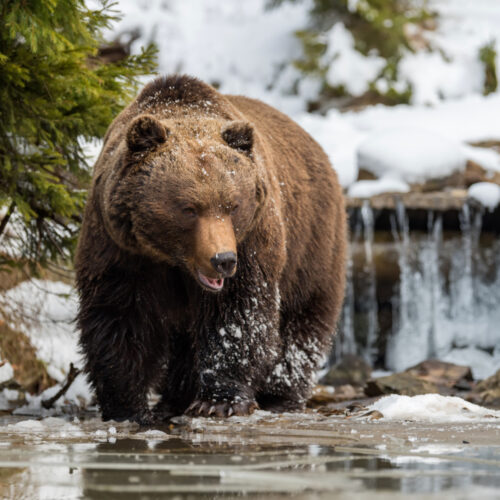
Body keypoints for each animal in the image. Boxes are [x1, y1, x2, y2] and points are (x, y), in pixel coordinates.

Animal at [75, 74, 348, 424]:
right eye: (189, 208)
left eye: (233, 205)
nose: (223, 260)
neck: (173, 260)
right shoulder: (120, 248)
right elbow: (120, 315)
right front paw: (127, 407)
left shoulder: (251, 242)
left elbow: (237, 315)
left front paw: (220, 401)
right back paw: (175, 398)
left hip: (312, 242)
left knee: (302, 319)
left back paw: (280, 395)